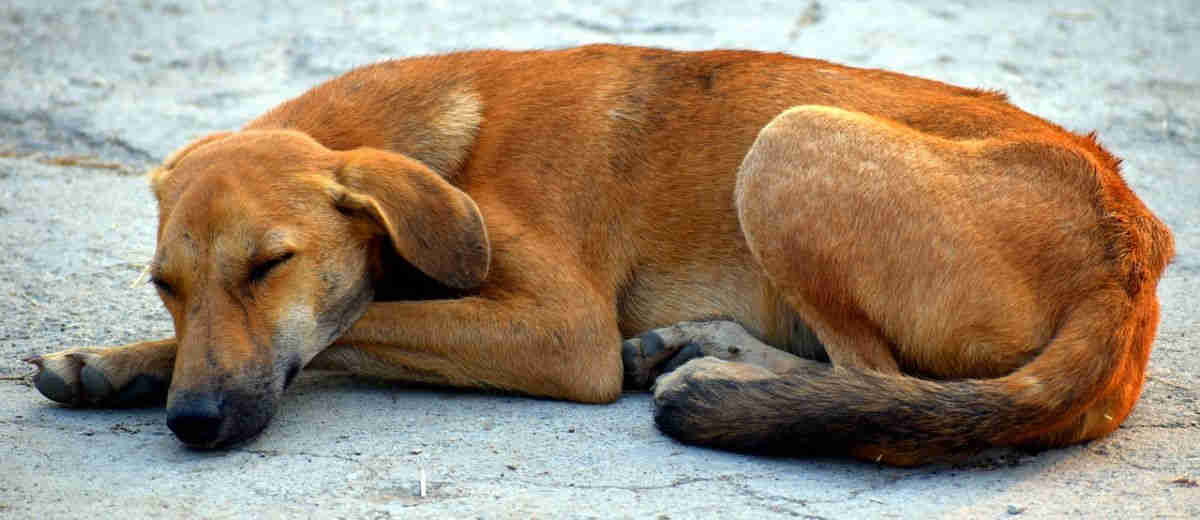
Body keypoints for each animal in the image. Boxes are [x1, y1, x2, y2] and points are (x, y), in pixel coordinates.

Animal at [25, 44, 1171, 463]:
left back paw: (725, 377)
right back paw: (703, 347)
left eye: (271, 266)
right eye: (165, 286)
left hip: (788, 142)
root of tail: (1129, 253)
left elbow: (355, 324)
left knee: (879, 382)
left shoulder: (561, 332)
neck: (451, 142)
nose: (193, 424)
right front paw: (115, 364)